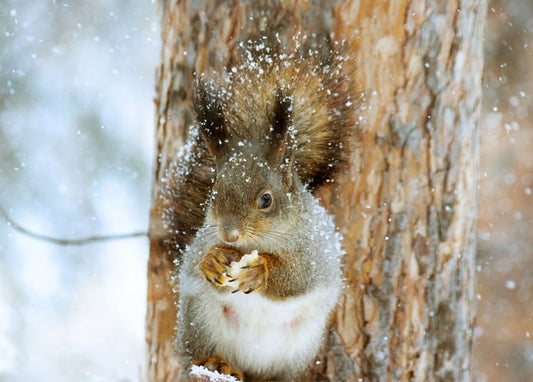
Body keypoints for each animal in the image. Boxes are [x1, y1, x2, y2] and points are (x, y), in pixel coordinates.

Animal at [177, 39, 356, 382]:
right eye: (213, 193)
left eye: (266, 200)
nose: (229, 234)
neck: (258, 243)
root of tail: (251, 367)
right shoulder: (201, 240)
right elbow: (194, 261)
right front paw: (212, 261)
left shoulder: (316, 252)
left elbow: (299, 277)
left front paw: (260, 270)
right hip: (199, 319)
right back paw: (216, 363)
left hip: (299, 346)